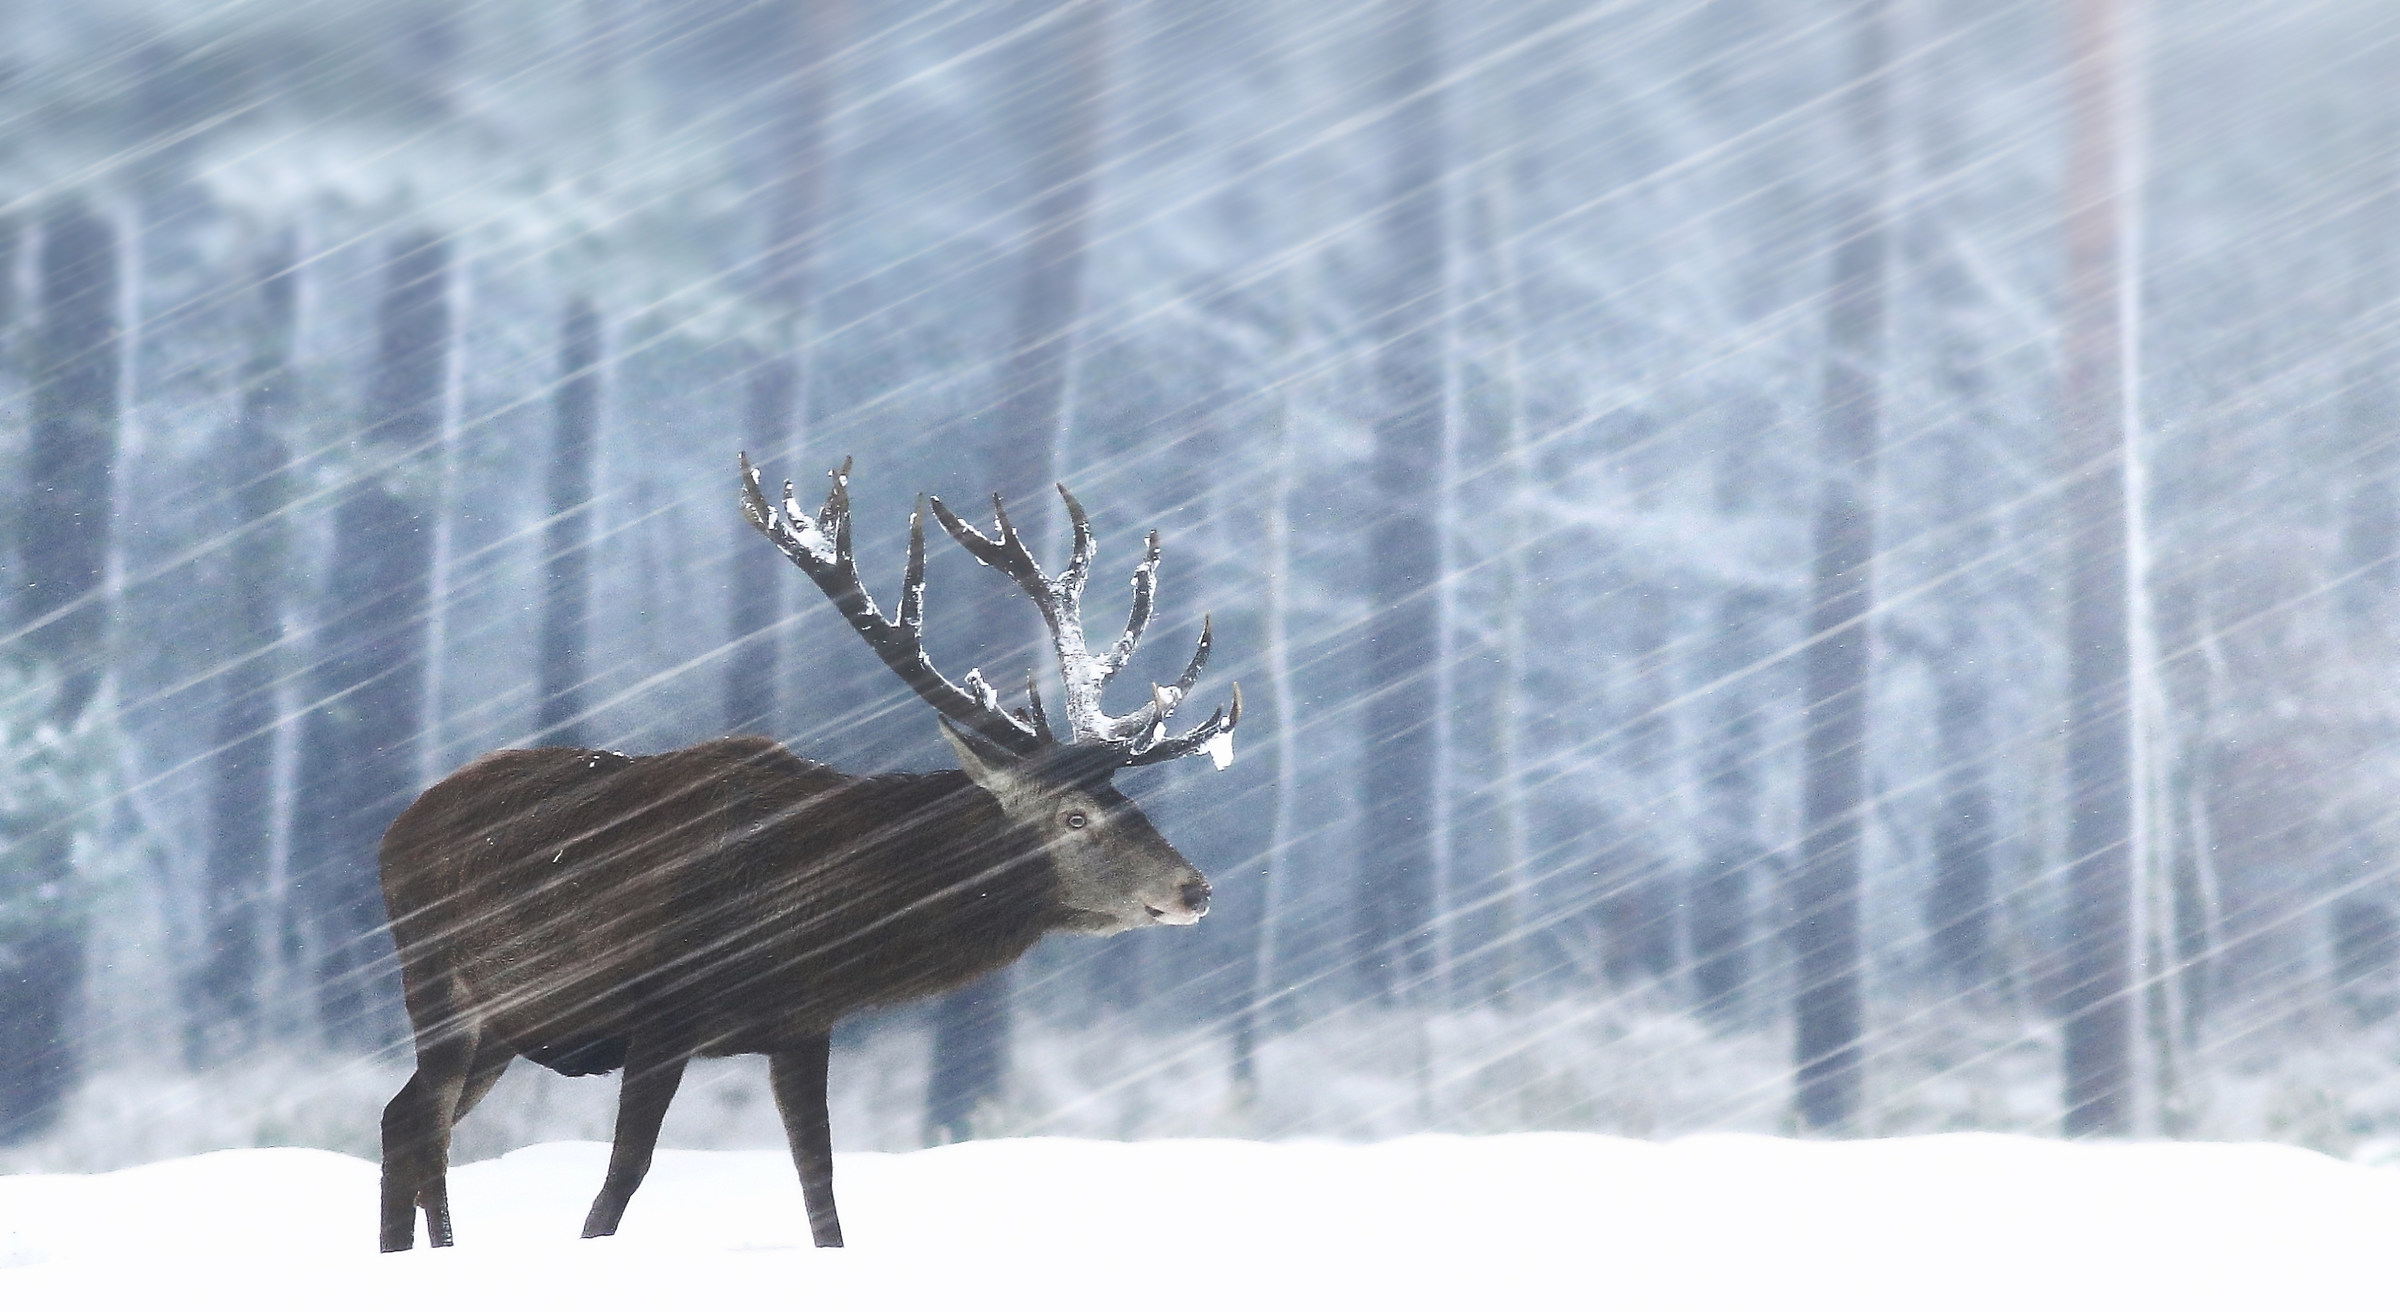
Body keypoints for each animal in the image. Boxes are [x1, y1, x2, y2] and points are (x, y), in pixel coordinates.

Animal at [375, 456, 1238, 1253]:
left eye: (1127, 799)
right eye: (1075, 815)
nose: (1194, 889)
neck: (794, 918)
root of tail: (392, 831)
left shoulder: (801, 1023)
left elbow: (818, 1182)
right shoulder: (659, 1011)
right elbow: (621, 1179)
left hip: (501, 1024)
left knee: (402, 1116)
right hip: (438, 982)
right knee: (423, 1121)